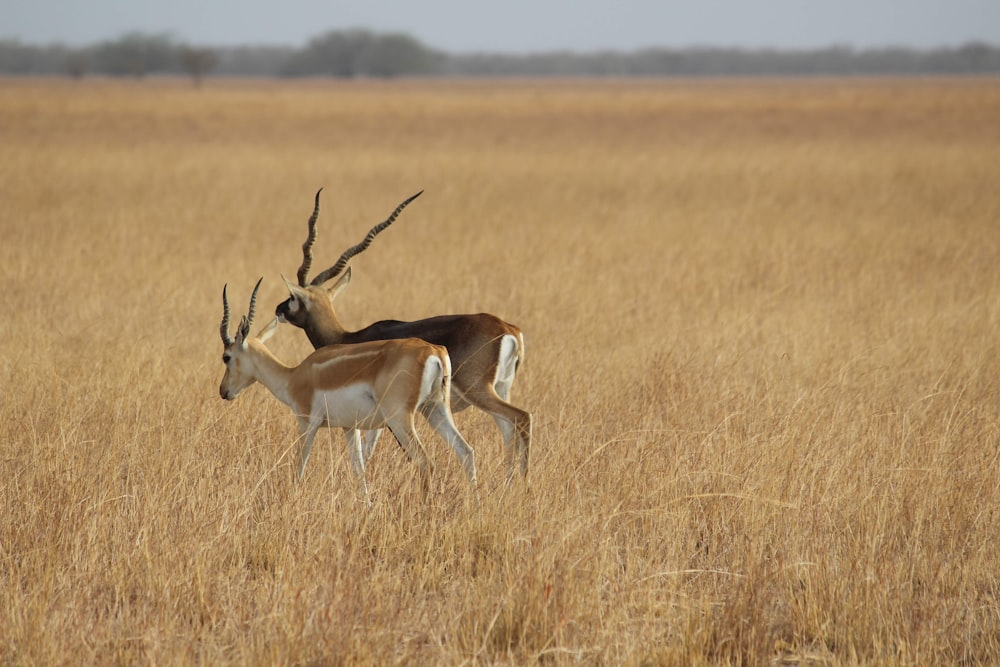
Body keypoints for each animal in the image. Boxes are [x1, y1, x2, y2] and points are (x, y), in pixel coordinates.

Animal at [274, 190, 532, 482]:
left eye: (292, 297)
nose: (278, 309)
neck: (348, 337)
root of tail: (509, 329)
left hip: (477, 390)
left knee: (520, 419)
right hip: (500, 388)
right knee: (508, 430)